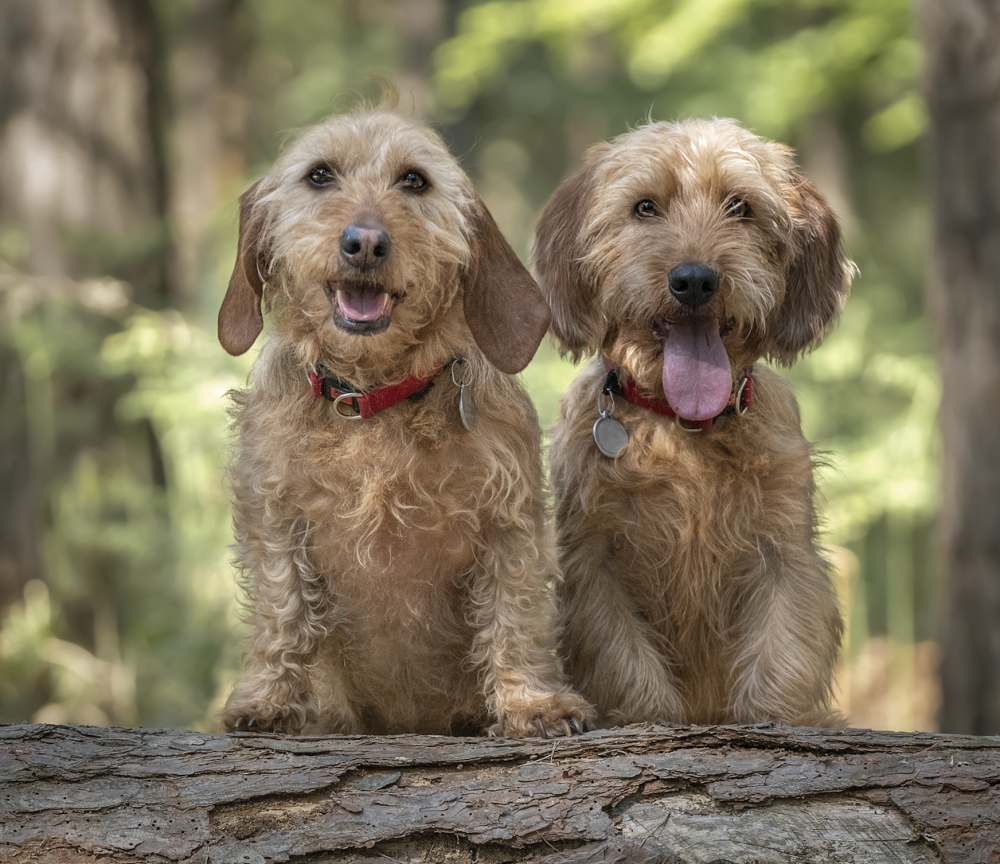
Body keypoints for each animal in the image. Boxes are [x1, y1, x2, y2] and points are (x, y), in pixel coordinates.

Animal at [218, 89, 588, 736]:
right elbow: (282, 608)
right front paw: (269, 699)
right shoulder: (275, 516)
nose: (365, 242)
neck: (375, 399)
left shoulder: (509, 523)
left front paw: (532, 703)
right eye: (319, 175)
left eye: (414, 180)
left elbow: (514, 614)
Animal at [532, 118, 852, 728]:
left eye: (739, 206)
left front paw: (776, 717)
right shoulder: (594, 561)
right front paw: (647, 715)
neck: (684, 430)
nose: (696, 280)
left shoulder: (783, 551)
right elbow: (623, 658)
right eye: (644, 207)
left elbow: (782, 644)